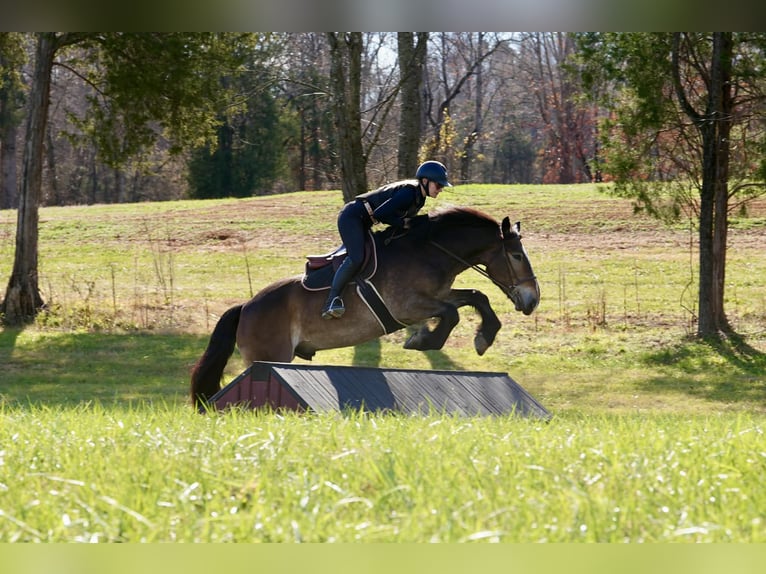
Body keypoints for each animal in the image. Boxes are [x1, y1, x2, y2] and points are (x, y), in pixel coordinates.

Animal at [190, 206, 540, 408]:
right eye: (517, 255)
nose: (532, 299)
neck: (429, 251)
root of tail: (246, 307)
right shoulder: (408, 307)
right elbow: (451, 314)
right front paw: (423, 340)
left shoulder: (440, 295)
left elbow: (476, 296)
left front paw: (484, 337)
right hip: (269, 357)